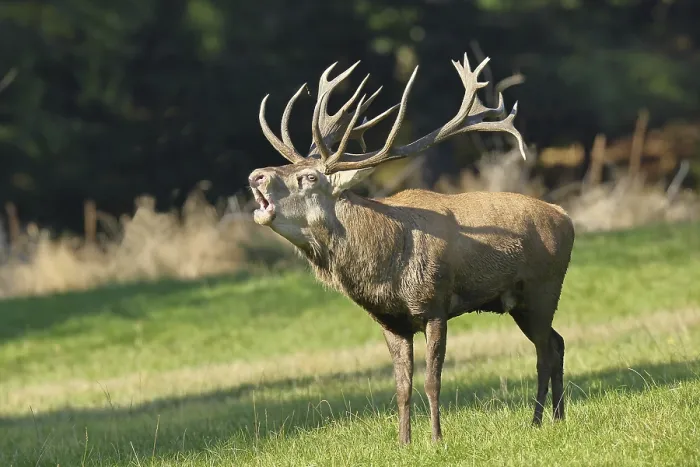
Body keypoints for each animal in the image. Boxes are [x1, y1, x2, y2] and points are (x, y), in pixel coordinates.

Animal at [248, 52, 575, 444]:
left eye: (309, 177)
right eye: (286, 164)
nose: (256, 175)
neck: (384, 268)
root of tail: (566, 217)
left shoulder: (435, 304)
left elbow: (433, 381)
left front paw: (436, 439)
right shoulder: (391, 321)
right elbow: (402, 386)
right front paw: (403, 442)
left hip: (543, 289)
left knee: (545, 351)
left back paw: (539, 420)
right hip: (520, 303)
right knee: (557, 342)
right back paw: (557, 417)